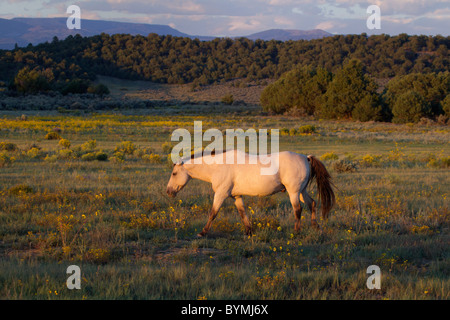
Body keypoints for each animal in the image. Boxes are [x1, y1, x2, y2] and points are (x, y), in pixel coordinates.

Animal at [165, 151, 334, 238]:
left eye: (174, 173)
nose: (168, 191)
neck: (218, 166)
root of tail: (306, 157)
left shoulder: (220, 194)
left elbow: (213, 213)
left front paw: (202, 232)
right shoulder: (236, 196)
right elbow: (242, 213)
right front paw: (249, 231)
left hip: (293, 192)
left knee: (298, 209)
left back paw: (296, 231)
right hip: (301, 191)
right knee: (312, 203)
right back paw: (316, 227)